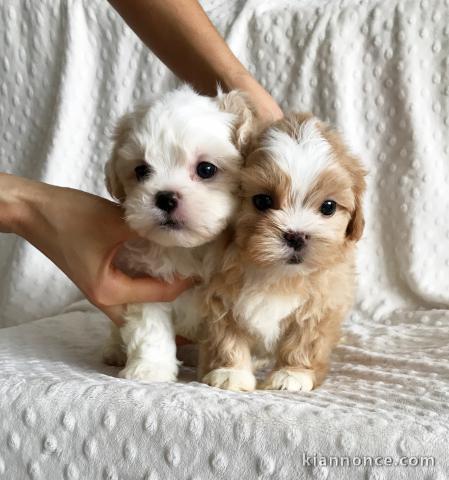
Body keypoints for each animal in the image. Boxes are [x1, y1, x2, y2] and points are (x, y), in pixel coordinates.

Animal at [103, 83, 254, 382]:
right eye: (141, 170)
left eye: (206, 169)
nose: (165, 197)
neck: (187, 249)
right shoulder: (145, 283)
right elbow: (150, 329)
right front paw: (150, 368)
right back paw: (115, 352)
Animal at [199, 114, 364, 392]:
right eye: (263, 201)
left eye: (328, 207)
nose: (296, 235)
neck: (277, 273)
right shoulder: (219, 293)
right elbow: (227, 334)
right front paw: (231, 371)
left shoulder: (322, 301)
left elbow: (305, 340)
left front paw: (292, 374)